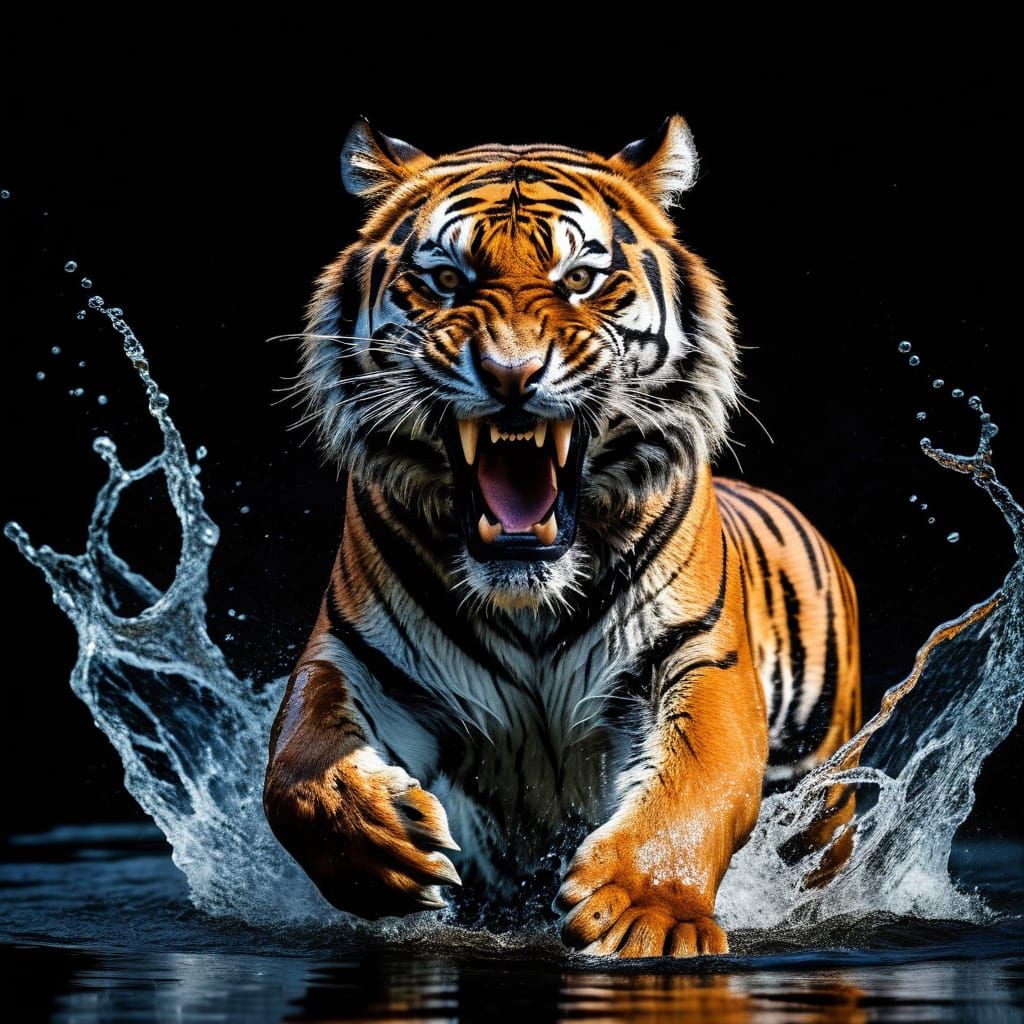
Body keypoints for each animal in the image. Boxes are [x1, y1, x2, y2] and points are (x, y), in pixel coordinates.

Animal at [262, 115, 861, 958]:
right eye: (446, 280)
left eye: (579, 278)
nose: (511, 374)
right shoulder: (358, 657)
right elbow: (296, 768)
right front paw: (383, 845)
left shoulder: (695, 657)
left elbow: (699, 780)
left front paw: (645, 912)